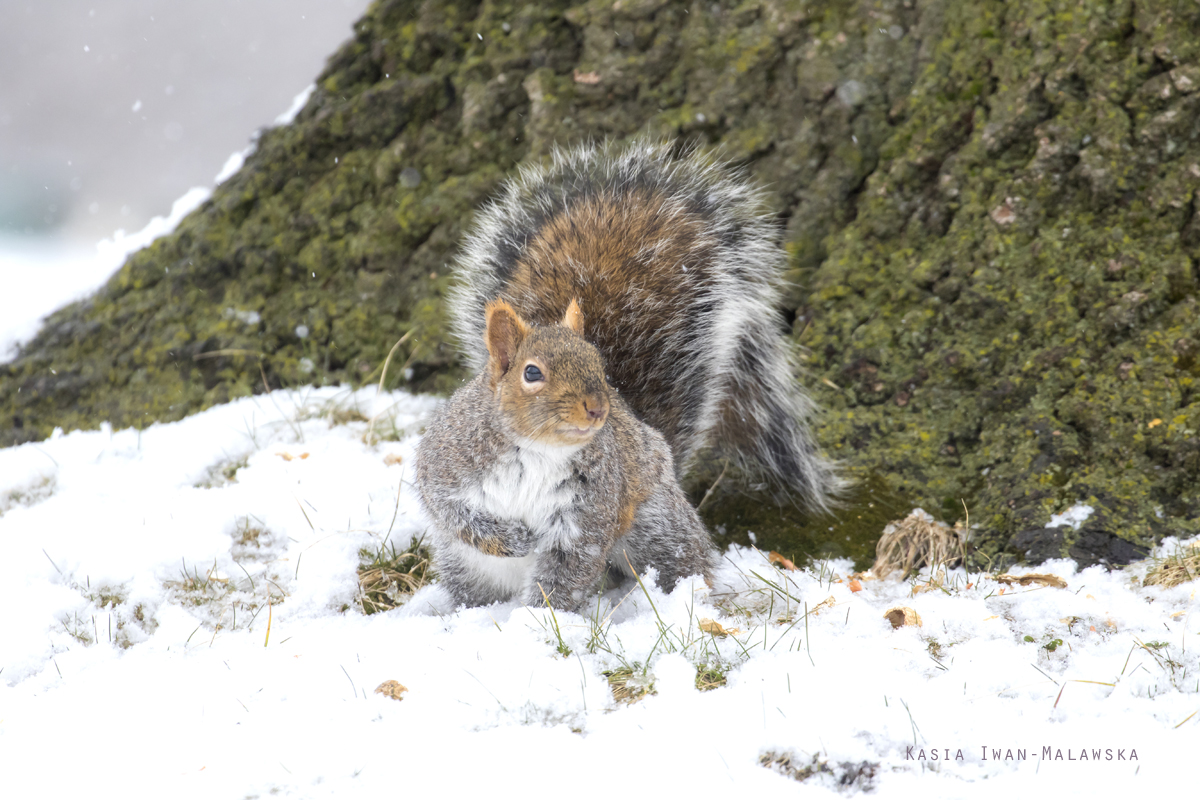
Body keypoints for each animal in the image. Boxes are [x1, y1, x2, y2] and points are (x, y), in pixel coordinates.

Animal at [412, 140, 835, 609]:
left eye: (600, 366)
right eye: (532, 373)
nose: (598, 408)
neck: (538, 450)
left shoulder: (591, 509)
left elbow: (568, 568)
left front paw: (543, 619)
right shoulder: (449, 464)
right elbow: (453, 513)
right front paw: (513, 540)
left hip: (656, 523)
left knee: (683, 559)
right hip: (465, 569)